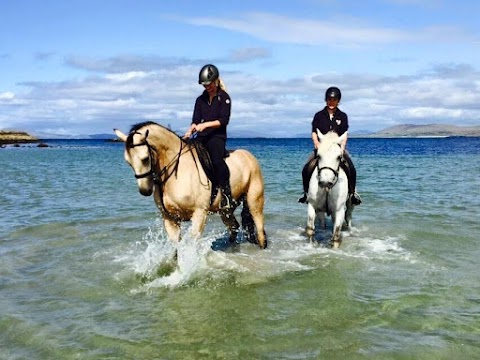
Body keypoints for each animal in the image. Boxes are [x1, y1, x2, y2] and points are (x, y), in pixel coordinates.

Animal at [115, 122, 268, 249]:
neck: (176, 171)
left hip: (254, 200)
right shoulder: (170, 218)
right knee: (234, 227)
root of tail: (249, 156)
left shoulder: (199, 214)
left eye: (145, 158)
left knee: (259, 227)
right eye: (128, 162)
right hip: (226, 210)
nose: (144, 190)